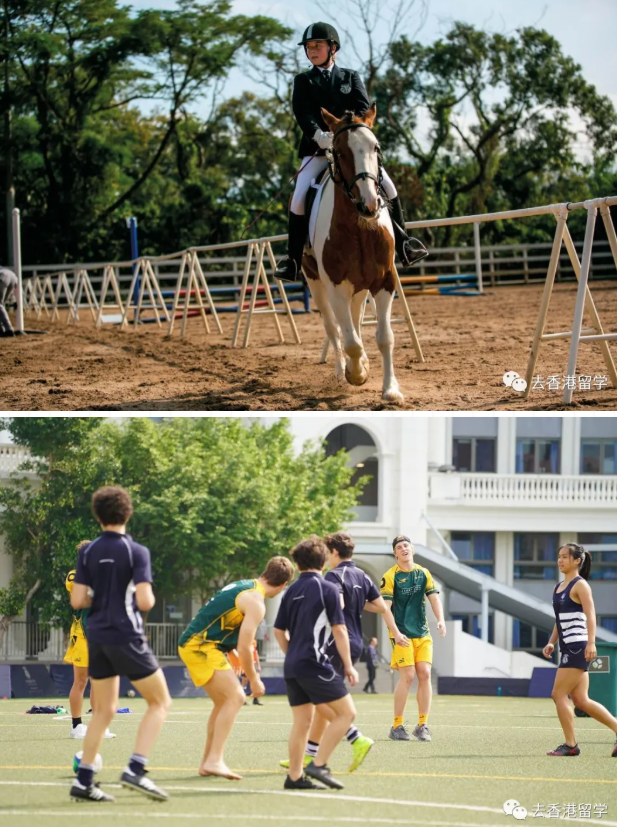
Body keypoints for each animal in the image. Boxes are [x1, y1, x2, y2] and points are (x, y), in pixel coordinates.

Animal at [300, 102, 402, 406]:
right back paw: (340, 370)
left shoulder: (384, 282)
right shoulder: (335, 287)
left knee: (354, 320)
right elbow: (350, 341)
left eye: (375, 147)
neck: (359, 227)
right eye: (339, 151)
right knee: (334, 328)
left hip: (359, 287)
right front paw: (355, 374)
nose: (370, 205)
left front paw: (390, 389)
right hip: (316, 283)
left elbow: (384, 337)